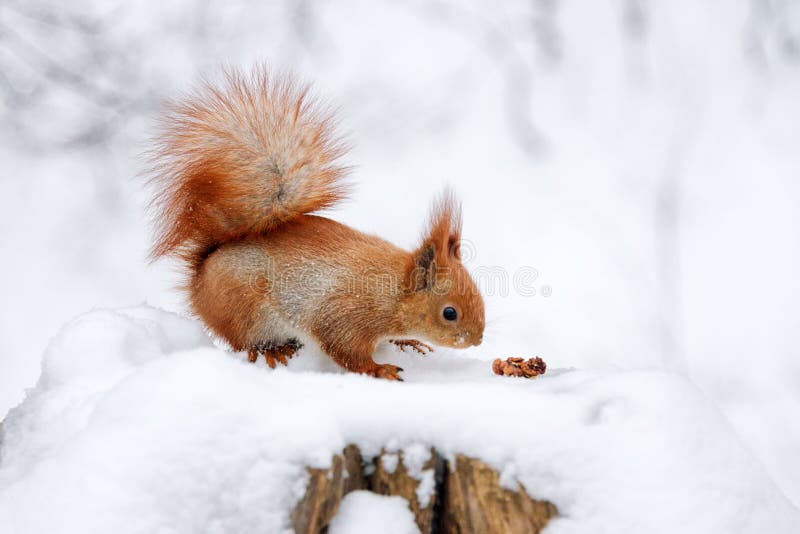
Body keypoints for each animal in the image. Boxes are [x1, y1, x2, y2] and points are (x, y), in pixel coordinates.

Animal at [147, 66, 485, 380]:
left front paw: (409, 343)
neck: (393, 291)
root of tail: (201, 275)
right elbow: (345, 349)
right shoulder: (348, 314)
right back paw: (272, 349)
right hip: (244, 308)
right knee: (244, 340)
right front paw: (379, 369)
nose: (477, 340)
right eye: (450, 313)